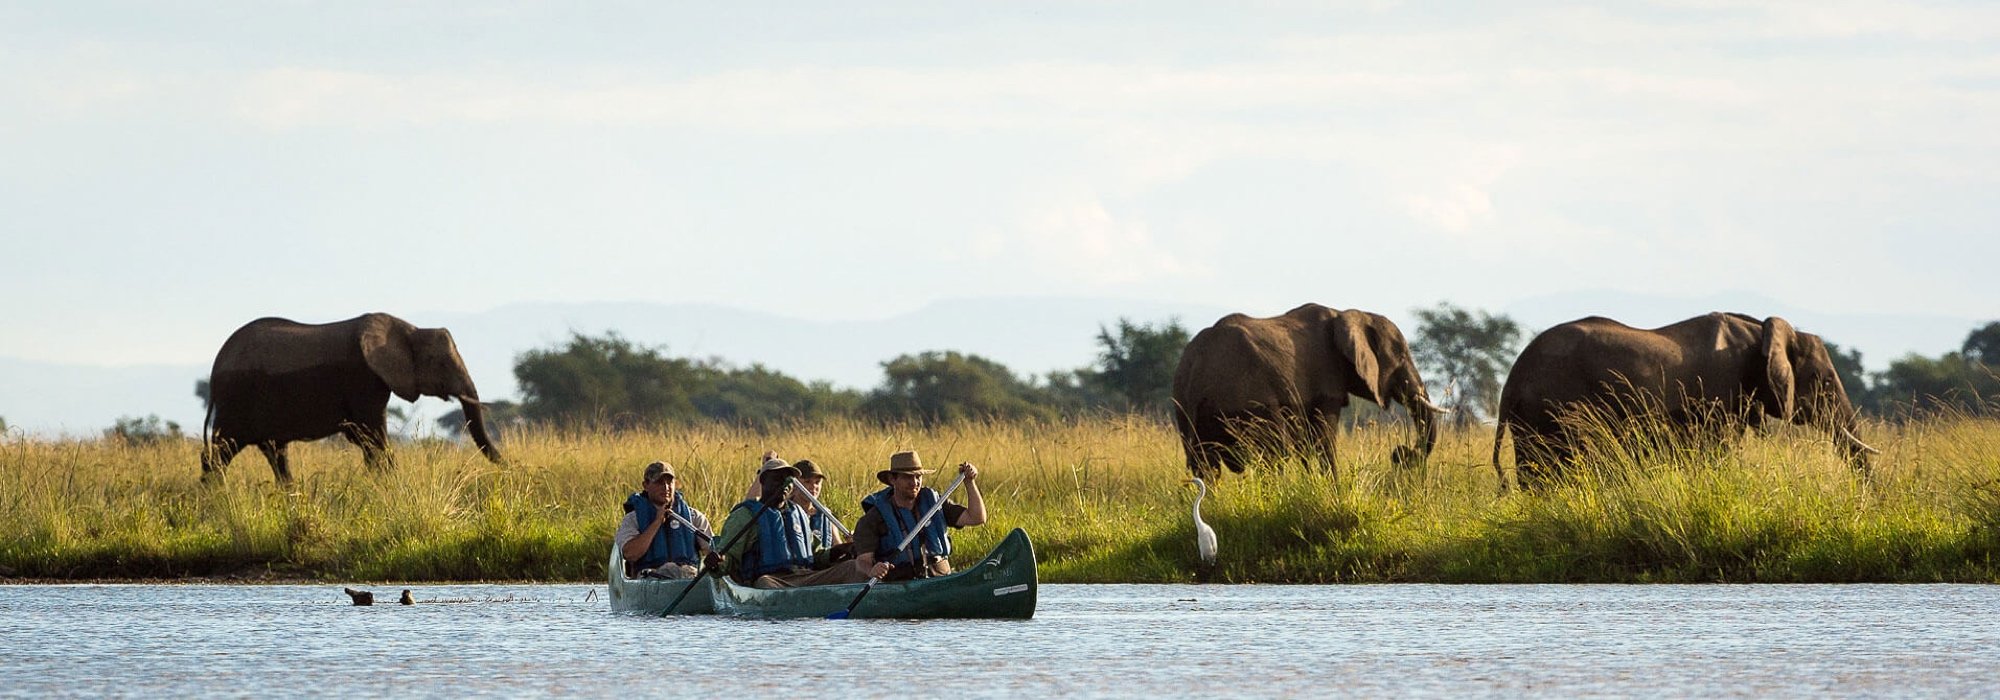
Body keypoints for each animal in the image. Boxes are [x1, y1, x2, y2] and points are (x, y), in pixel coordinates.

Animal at [203, 312, 504, 482]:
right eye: (439, 363)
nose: (509, 467)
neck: (408, 329)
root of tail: (215, 365)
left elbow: (364, 439)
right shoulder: (363, 378)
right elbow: (373, 436)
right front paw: (389, 485)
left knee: (275, 453)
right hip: (236, 400)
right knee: (221, 451)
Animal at [1168, 304, 1448, 482]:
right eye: (1400, 356)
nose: (1402, 454)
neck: (1345, 314)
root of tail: (1196, 371)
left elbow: (1307, 444)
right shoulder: (1327, 380)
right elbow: (1322, 439)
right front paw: (1334, 494)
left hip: (1186, 412)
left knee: (1205, 467)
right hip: (1248, 401)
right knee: (1272, 456)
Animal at [1496, 314, 1880, 492]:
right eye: (1825, 381)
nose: (1871, 502)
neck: (1761, 331)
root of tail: (1512, 379)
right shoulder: (1720, 395)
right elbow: (1718, 452)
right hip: (1551, 410)